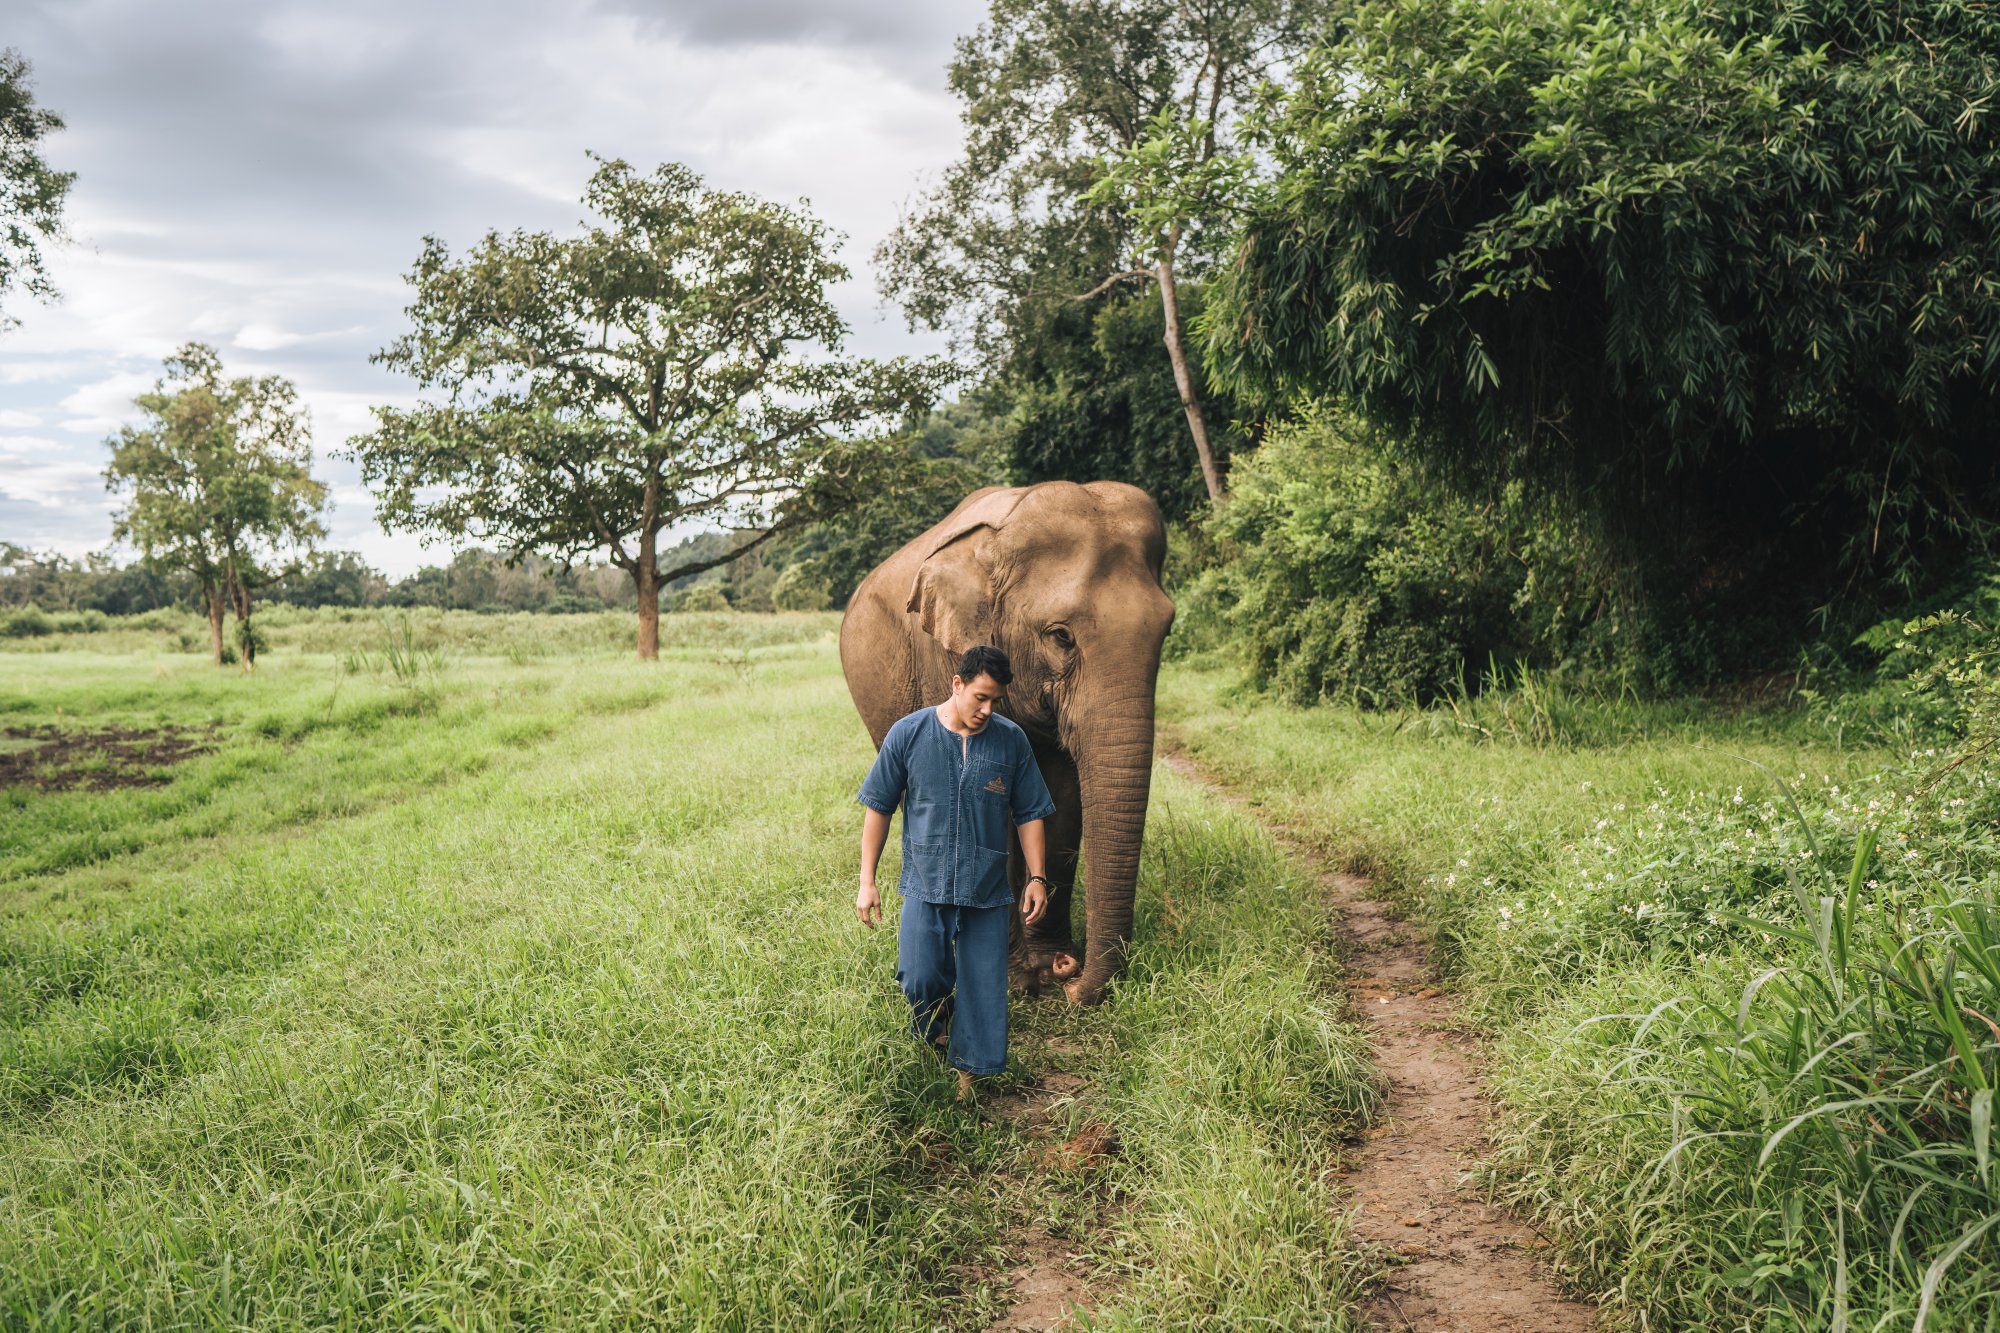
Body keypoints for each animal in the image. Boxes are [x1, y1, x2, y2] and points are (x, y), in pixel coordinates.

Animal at [840, 478, 1176, 996]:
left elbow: (1059, 799)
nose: (1073, 978)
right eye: (1061, 636)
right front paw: (1017, 977)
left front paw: (1045, 963)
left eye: (1167, 630)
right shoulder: (941, 653)